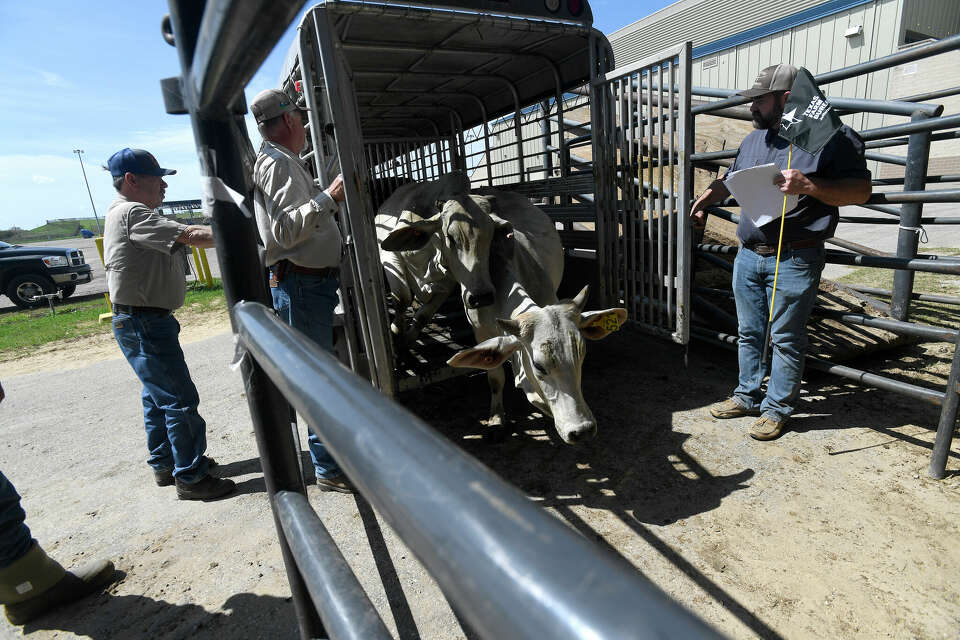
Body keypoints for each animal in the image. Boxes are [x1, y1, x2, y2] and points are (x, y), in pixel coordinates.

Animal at [276, 0, 688, 396]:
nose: (480, 297)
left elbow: (423, 314)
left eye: (494, 236)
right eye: (449, 236)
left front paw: (407, 337)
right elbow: (404, 302)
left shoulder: (446, 287)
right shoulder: (393, 264)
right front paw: (398, 339)